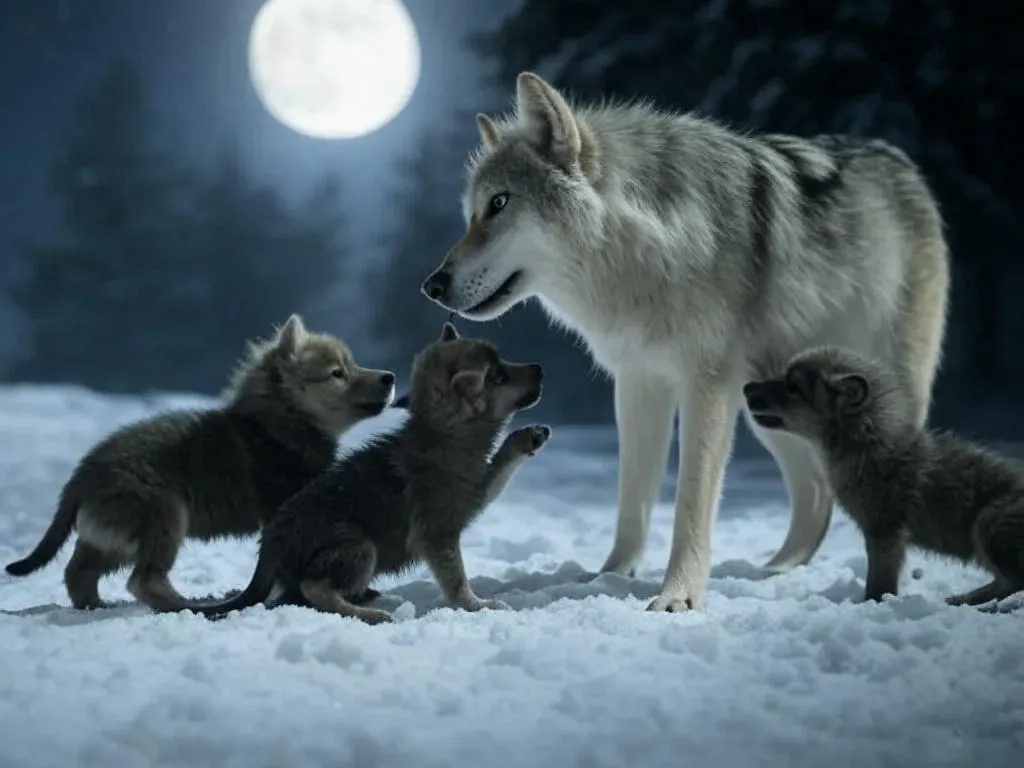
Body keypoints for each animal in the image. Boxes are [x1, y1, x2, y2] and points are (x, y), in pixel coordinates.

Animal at [5, 314, 396, 613]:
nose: (390, 377)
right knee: (142, 580)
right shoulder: (286, 510)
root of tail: (81, 477)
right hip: (164, 516)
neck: (280, 422)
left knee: (78, 573)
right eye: (337, 373)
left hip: (111, 537)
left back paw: (97, 606)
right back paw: (185, 604)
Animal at [190, 322, 549, 624]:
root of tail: (269, 547)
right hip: (359, 545)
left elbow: (500, 463)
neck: (446, 434)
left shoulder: (475, 489)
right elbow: (457, 582)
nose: (540, 368)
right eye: (498, 376)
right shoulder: (437, 533)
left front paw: (528, 436)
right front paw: (481, 606)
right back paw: (372, 613)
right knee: (313, 588)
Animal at [419, 71, 950, 611]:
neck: (651, 249)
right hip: (768, 406)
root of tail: (897, 157)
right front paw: (610, 578)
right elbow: (632, 498)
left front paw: (678, 597)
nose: (432, 286)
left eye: (499, 203)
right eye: (470, 214)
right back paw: (775, 571)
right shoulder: (638, 383)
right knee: (817, 489)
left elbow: (691, 502)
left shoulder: (707, 385)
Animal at [744, 346, 1024, 607]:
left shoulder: (884, 531)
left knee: (1012, 582)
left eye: (793, 387)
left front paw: (872, 604)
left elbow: (880, 581)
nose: (746, 387)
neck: (864, 443)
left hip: (988, 524)